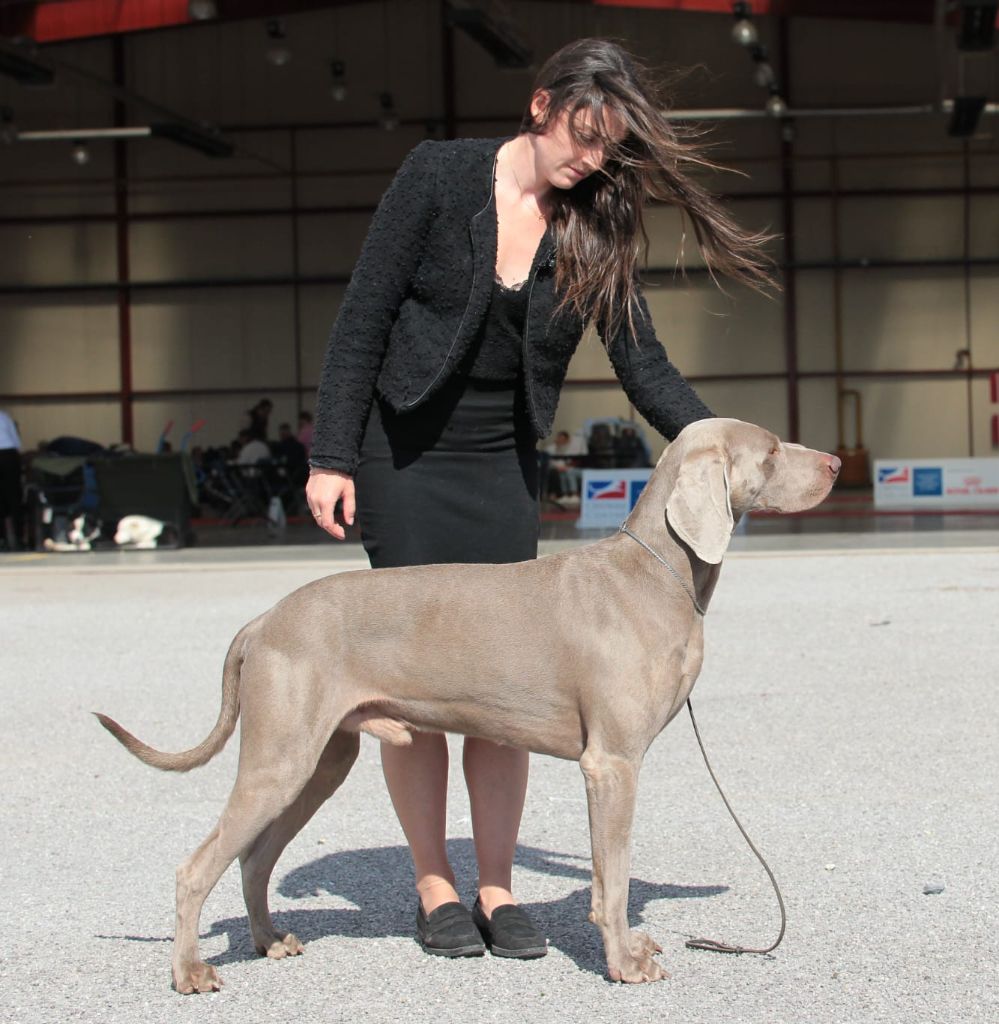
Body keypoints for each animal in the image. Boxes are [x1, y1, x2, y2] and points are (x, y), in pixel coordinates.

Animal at [97, 419, 839, 987]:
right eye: (771, 450)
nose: (835, 461)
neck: (656, 572)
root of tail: (262, 620)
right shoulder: (612, 764)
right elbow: (615, 880)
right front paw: (624, 963)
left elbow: (608, 878)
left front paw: (632, 947)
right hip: (280, 758)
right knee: (196, 867)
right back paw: (190, 973)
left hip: (321, 759)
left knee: (254, 857)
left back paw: (268, 939)